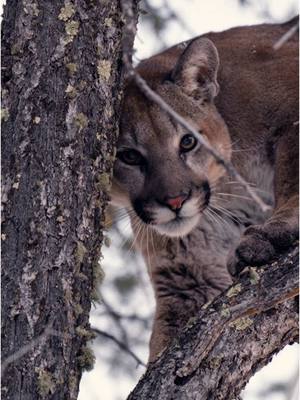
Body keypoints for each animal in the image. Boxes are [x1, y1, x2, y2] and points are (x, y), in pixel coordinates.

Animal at [111, 15, 298, 360]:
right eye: (129, 156)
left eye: (187, 142)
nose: (175, 202)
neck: (229, 183)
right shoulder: (189, 276)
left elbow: (292, 181)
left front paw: (272, 232)